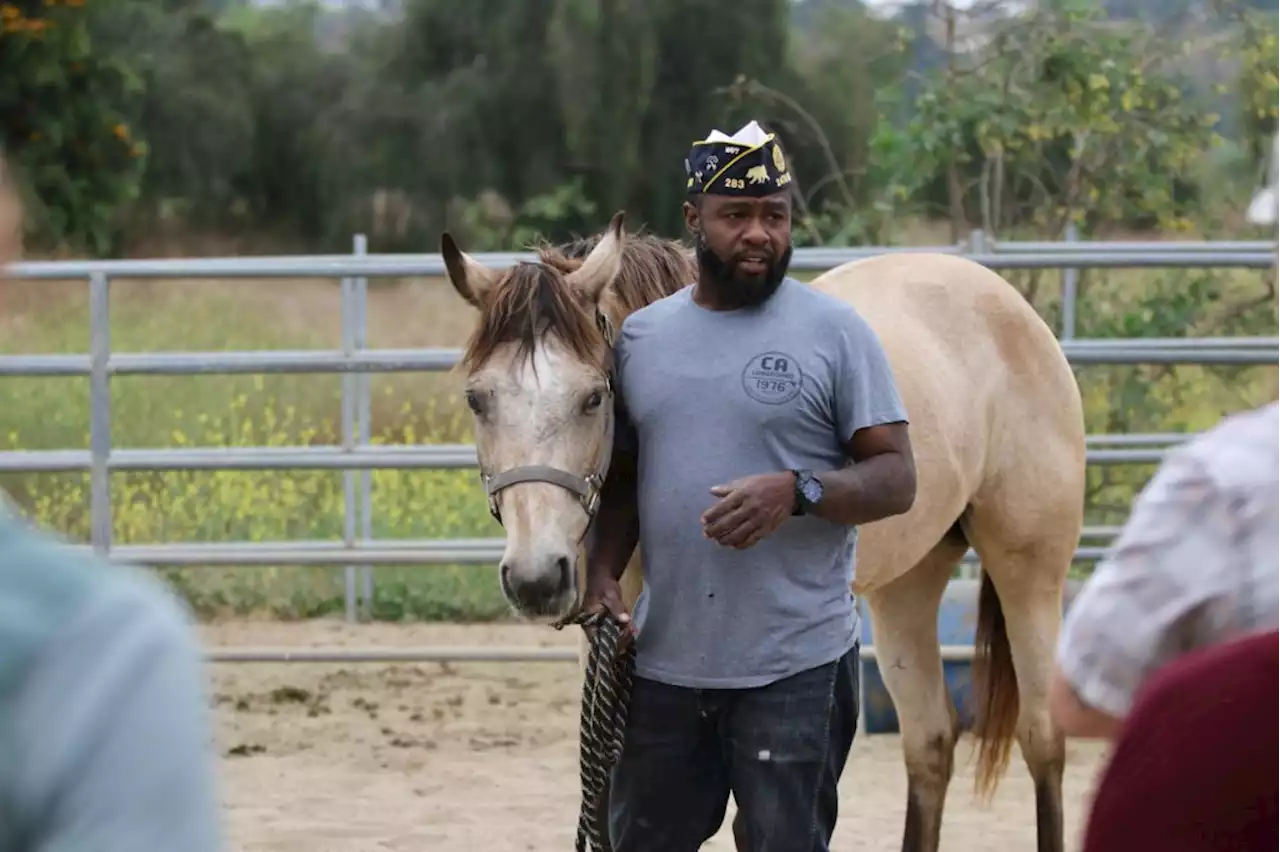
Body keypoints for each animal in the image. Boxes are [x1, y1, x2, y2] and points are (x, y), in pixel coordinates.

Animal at [440, 211, 1080, 849]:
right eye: (476, 399)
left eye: (593, 397)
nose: (535, 579)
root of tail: (1006, 302)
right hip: (908, 588)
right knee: (930, 744)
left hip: (1029, 571)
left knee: (1042, 740)